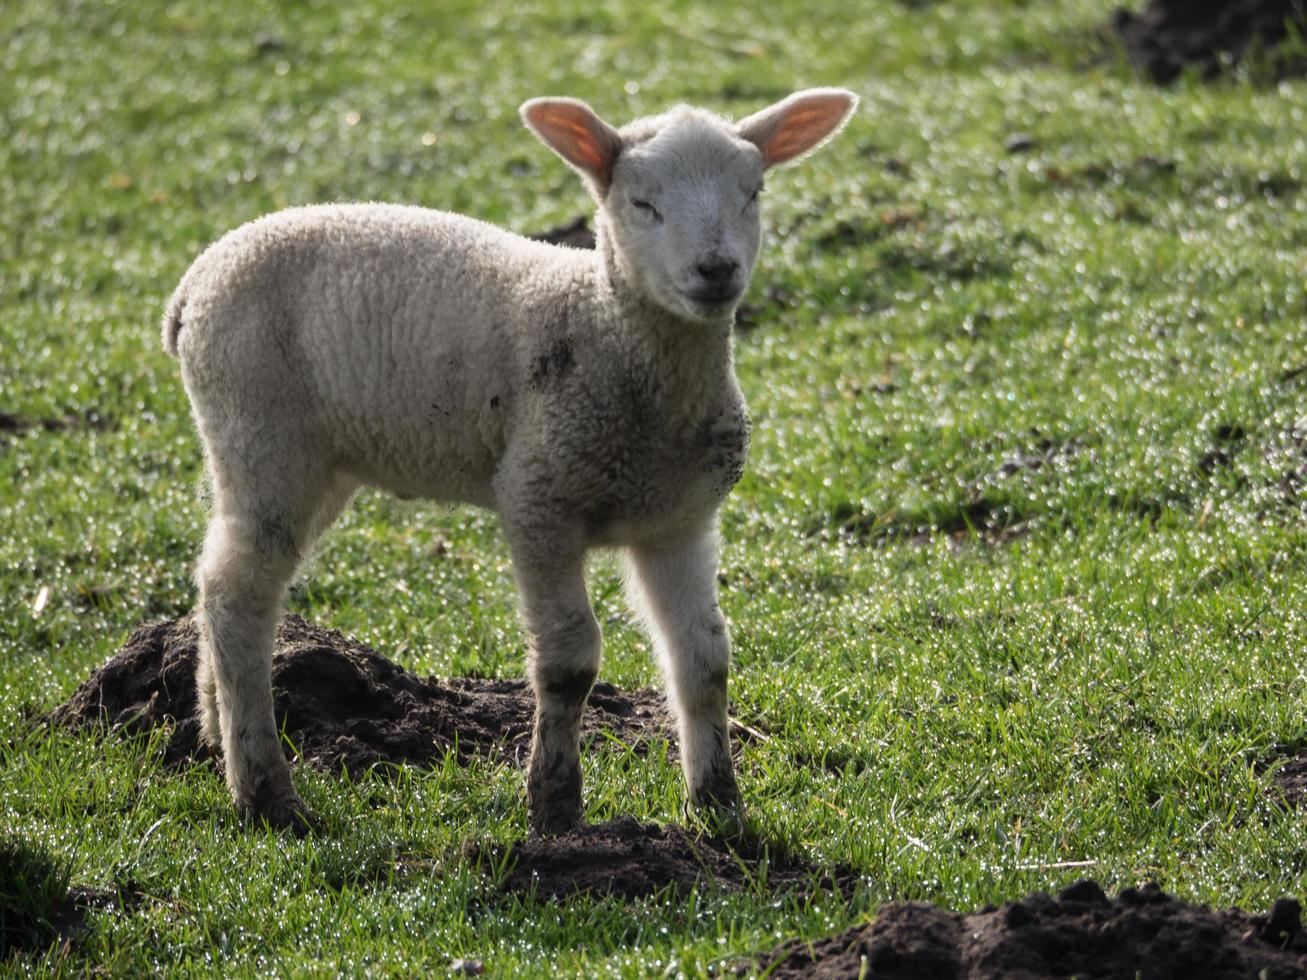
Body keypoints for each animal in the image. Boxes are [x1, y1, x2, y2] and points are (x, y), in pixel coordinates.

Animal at [163, 88, 857, 836]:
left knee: (222, 578)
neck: (607, 331)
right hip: (260, 431)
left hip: (314, 462)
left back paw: (215, 735)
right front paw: (554, 805)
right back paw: (266, 793)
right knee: (238, 594)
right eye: (641, 203)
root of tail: (194, 286)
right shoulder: (538, 497)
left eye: (753, 193)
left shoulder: (679, 520)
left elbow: (704, 661)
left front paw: (720, 809)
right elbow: (569, 661)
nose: (716, 269)